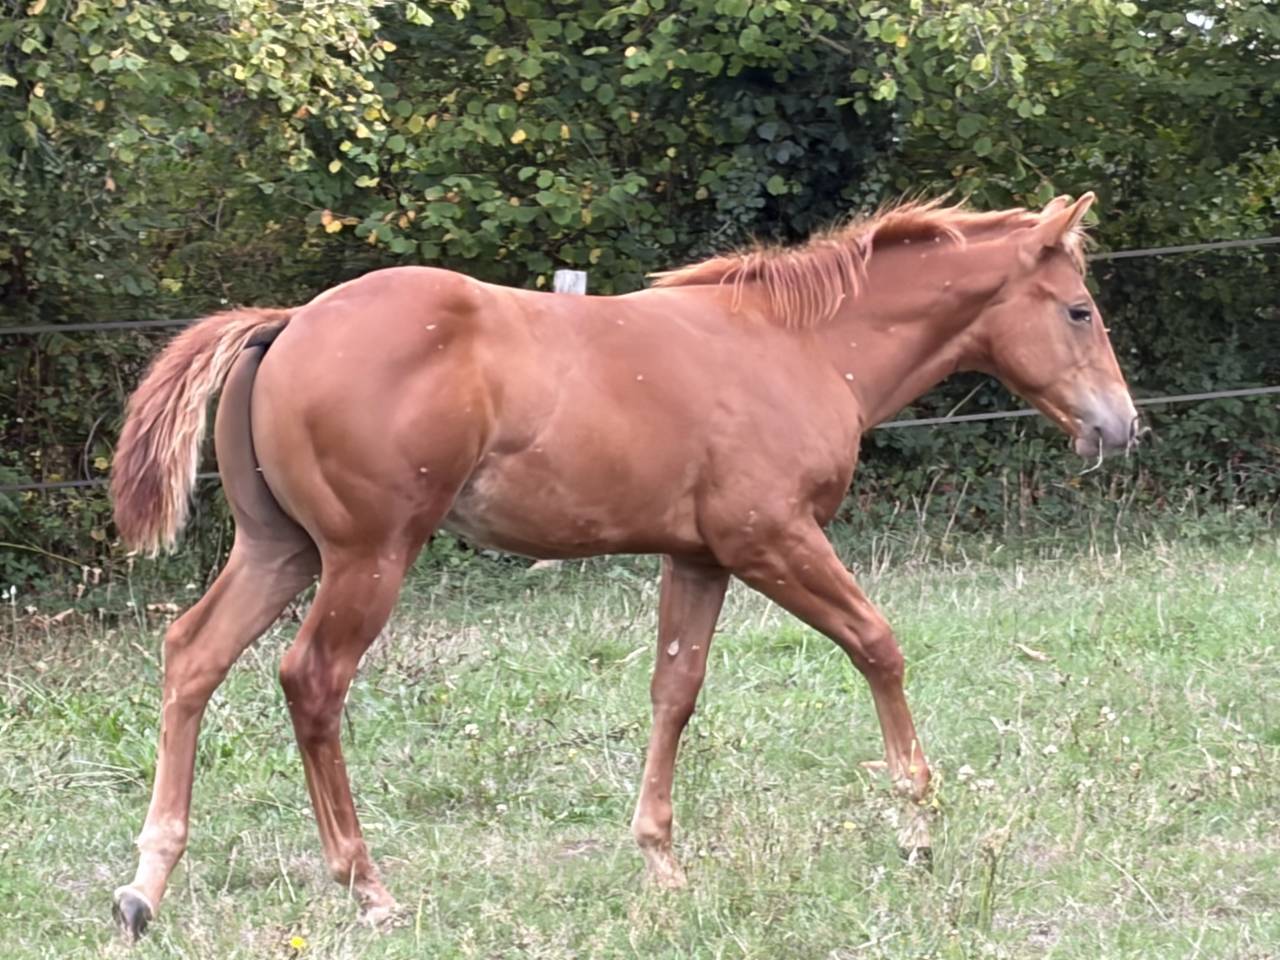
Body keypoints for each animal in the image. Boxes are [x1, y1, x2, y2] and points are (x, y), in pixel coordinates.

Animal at [108, 193, 1139, 939]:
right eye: (1079, 309)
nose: (1121, 427)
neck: (794, 343)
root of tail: (286, 323)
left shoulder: (700, 558)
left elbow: (674, 691)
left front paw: (661, 861)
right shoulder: (775, 539)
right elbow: (877, 645)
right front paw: (918, 823)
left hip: (278, 551)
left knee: (191, 656)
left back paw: (146, 883)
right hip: (369, 556)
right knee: (311, 680)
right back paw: (368, 887)